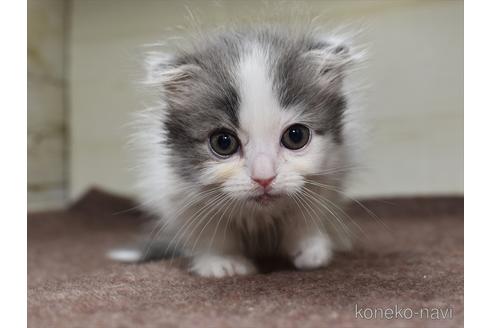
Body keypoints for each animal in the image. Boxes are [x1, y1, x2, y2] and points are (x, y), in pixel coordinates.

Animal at [110, 26, 362, 276]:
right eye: (223, 143)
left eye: (296, 136)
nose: (264, 178)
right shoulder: (179, 193)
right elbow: (210, 230)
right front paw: (221, 262)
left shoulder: (327, 179)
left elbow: (304, 217)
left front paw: (311, 250)